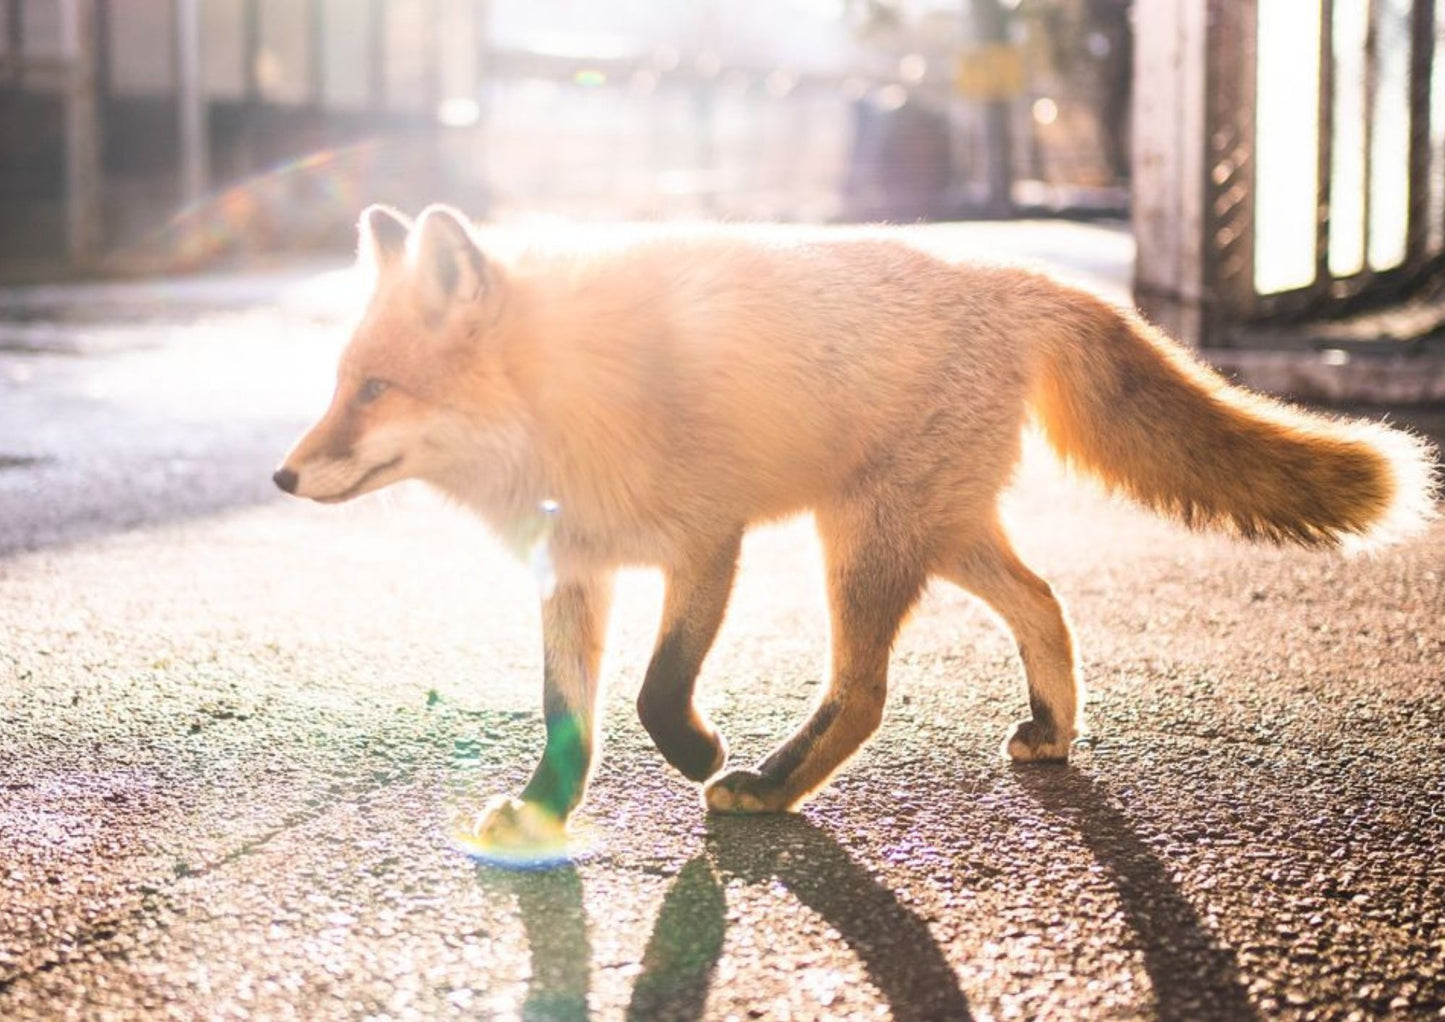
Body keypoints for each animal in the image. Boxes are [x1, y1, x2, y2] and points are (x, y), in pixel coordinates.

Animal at [273, 203, 1433, 849]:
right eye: (338, 383)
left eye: (375, 389)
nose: (280, 477)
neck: (571, 404)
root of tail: (1014, 278)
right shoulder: (576, 572)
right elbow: (567, 717)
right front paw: (543, 813)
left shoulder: (710, 539)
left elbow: (652, 692)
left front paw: (695, 751)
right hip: (938, 534)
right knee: (1046, 601)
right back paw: (1051, 730)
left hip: (864, 540)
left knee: (867, 692)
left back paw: (771, 785)